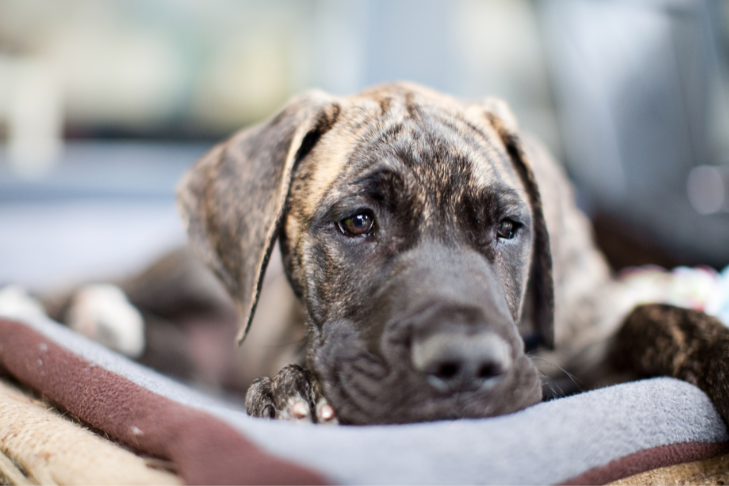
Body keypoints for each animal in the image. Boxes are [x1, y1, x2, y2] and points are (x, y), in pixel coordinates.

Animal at [175, 82, 728, 426]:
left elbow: (659, 316)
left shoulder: (593, 339)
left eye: (508, 228)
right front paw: (295, 390)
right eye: (357, 222)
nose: (465, 364)